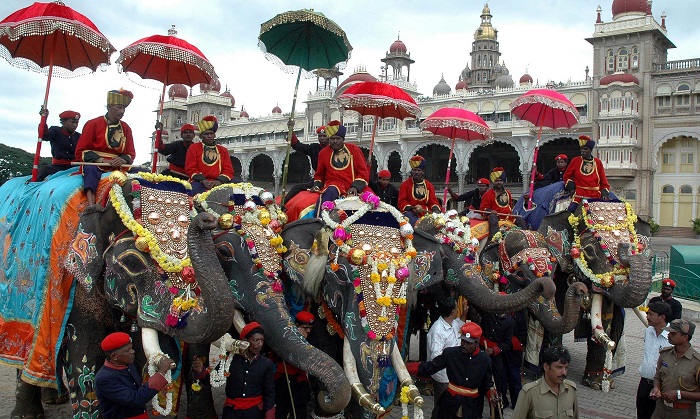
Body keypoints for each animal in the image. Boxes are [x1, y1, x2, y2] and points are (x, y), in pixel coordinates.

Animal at [0, 171, 237, 419]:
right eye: (132, 262)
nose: (206, 220)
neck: (103, 205)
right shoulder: (77, 283)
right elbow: (84, 351)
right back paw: (28, 412)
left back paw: (54, 397)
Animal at [540, 200, 652, 390]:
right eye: (589, 252)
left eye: (638, 246)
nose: (625, 247)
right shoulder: (558, 272)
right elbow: (558, 312)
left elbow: (605, 317)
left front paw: (597, 384)